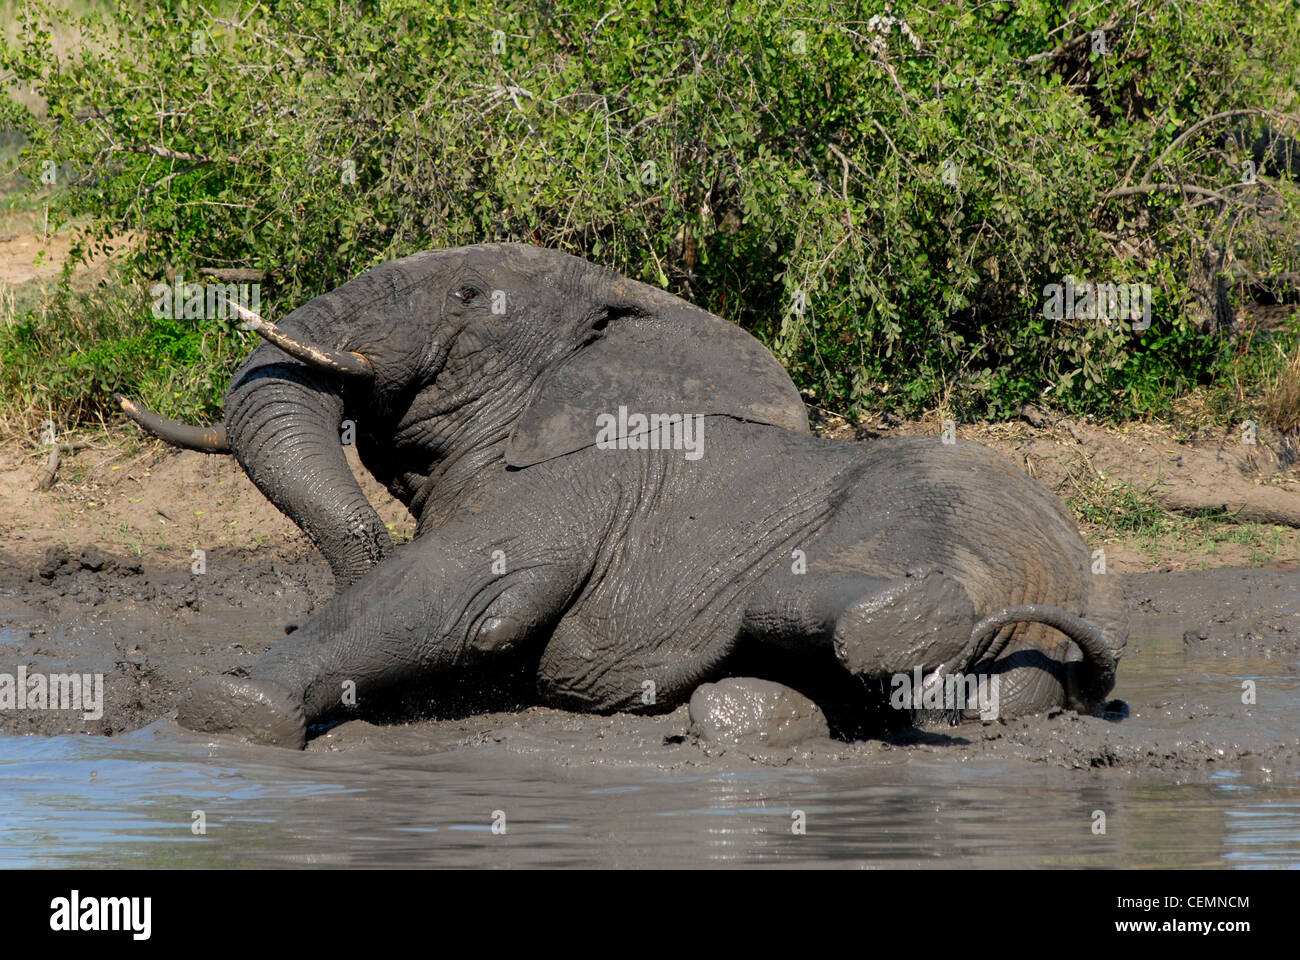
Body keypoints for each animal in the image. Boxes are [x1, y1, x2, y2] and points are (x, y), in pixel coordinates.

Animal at [118, 243, 1127, 748]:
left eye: (466, 293)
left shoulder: (578, 478)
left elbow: (454, 597)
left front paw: (230, 713)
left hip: (940, 509)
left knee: (818, 595)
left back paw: (903, 620)